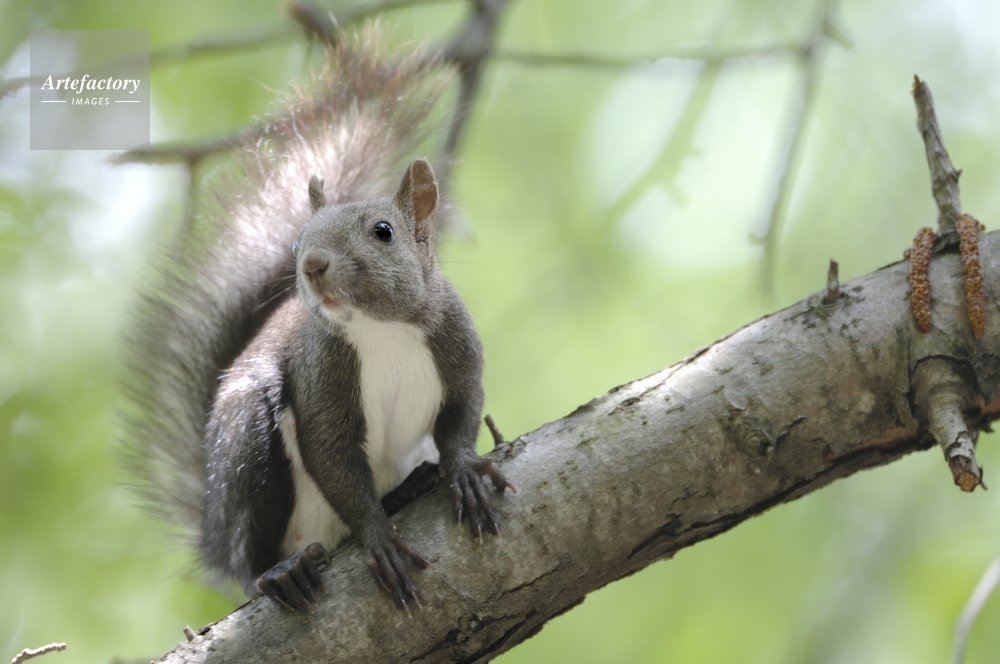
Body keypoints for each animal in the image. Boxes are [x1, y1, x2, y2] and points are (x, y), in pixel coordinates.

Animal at [119, 31, 510, 612]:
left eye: (383, 231)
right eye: (297, 242)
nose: (311, 265)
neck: (379, 329)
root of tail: (213, 535)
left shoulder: (456, 345)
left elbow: (463, 413)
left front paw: (462, 470)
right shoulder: (321, 378)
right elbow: (333, 459)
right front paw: (378, 536)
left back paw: (414, 485)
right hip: (247, 445)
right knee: (250, 556)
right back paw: (277, 573)